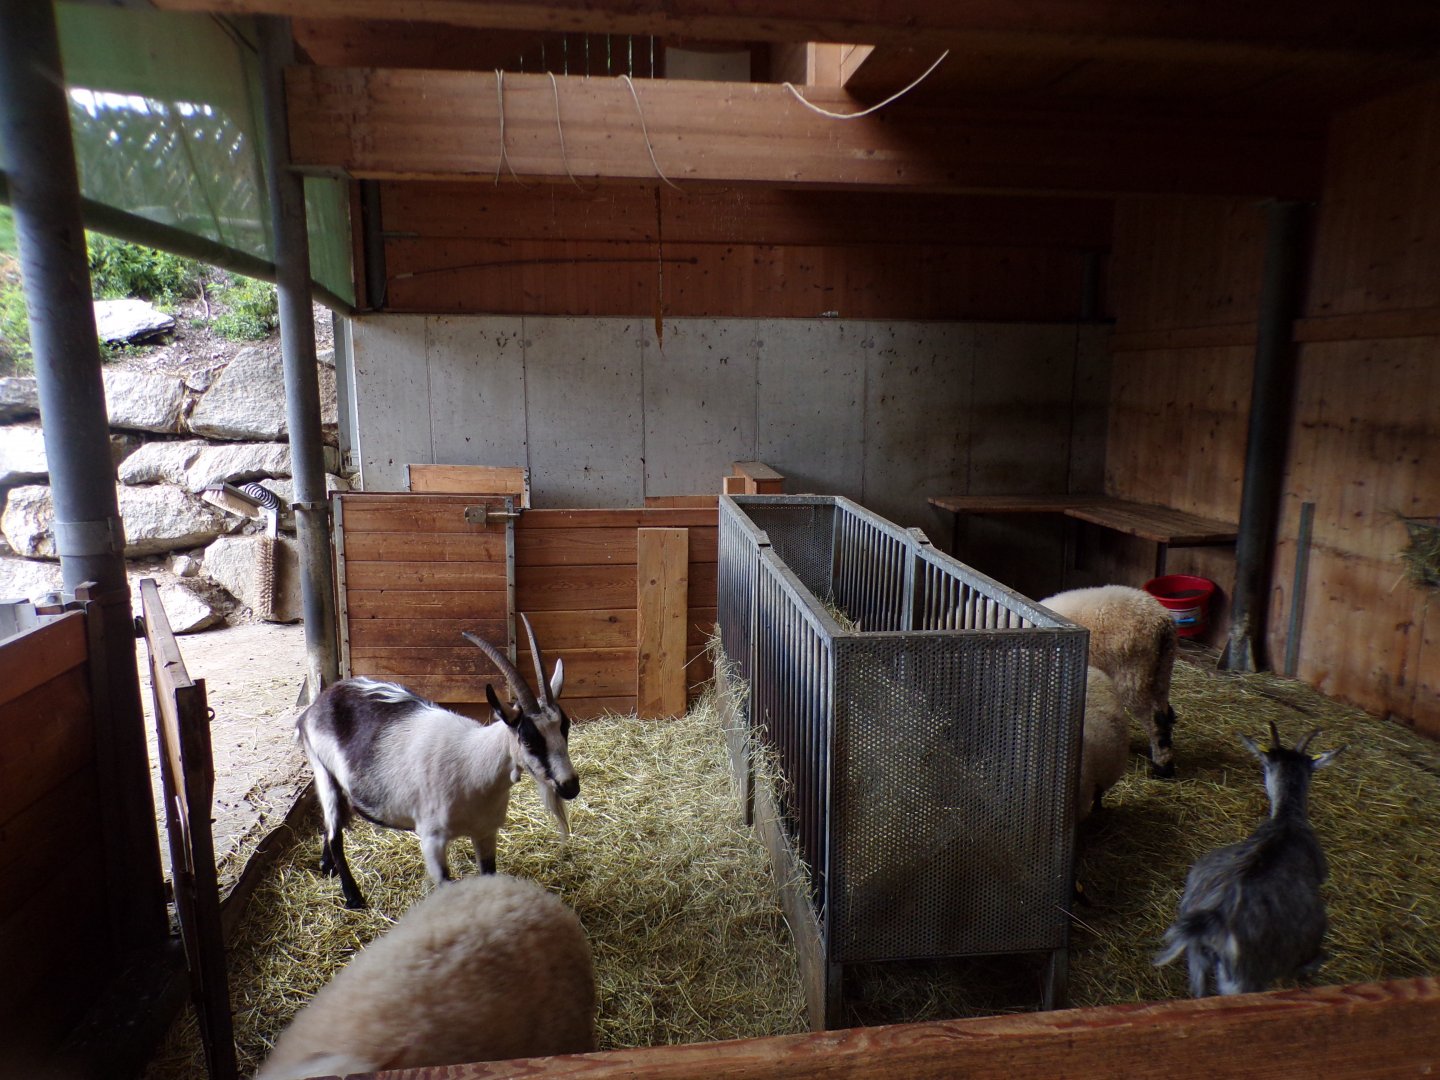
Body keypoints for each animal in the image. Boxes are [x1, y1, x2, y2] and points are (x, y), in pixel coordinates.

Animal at [296, 613, 578, 908]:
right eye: (528, 739)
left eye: (565, 727)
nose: (570, 786)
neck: (474, 765)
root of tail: (317, 706)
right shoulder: (432, 841)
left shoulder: (485, 833)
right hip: (323, 773)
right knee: (334, 832)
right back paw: (353, 897)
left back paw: (326, 866)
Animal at [1040, 585, 1179, 777]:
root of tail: (1162, 620)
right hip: (1161, 670)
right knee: (1166, 713)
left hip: (1133, 674)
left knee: (1155, 720)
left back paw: (1162, 767)